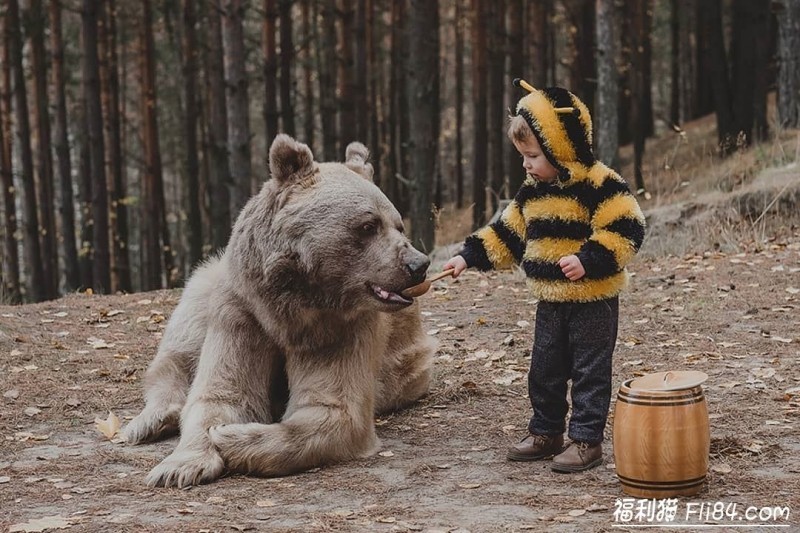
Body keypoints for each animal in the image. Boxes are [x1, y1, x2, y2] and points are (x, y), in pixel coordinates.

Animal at [123, 133, 438, 486]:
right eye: (369, 225)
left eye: (398, 225)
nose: (418, 265)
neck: (288, 307)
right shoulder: (243, 310)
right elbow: (221, 394)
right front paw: (177, 467)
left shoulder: (339, 327)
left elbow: (331, 408)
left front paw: (231, 436)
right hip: (210, 283)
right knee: (183, 338)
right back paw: (151, 420)